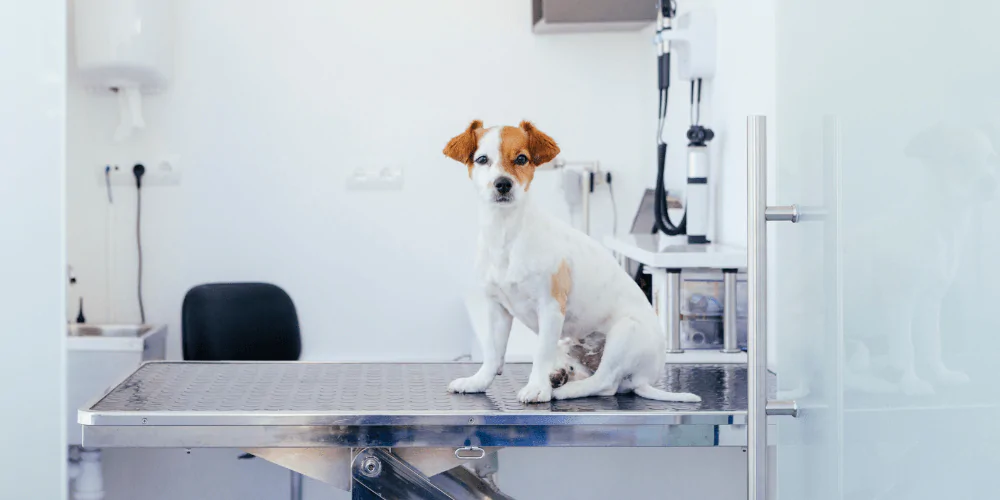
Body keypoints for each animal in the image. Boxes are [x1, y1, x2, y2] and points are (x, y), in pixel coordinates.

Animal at [442, 119, 708, 404]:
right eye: (482, 159)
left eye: (522, 158)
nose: (503, 184)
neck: (506, 233)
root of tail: (646, 377)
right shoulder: (497, 309)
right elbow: (493, 354)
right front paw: (478, 382)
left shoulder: (550, 308)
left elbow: (540, 355)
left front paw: (536, 388)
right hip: (569, 344)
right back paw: (558, 377)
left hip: (624, 333)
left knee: (604, 383)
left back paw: (563, 390)